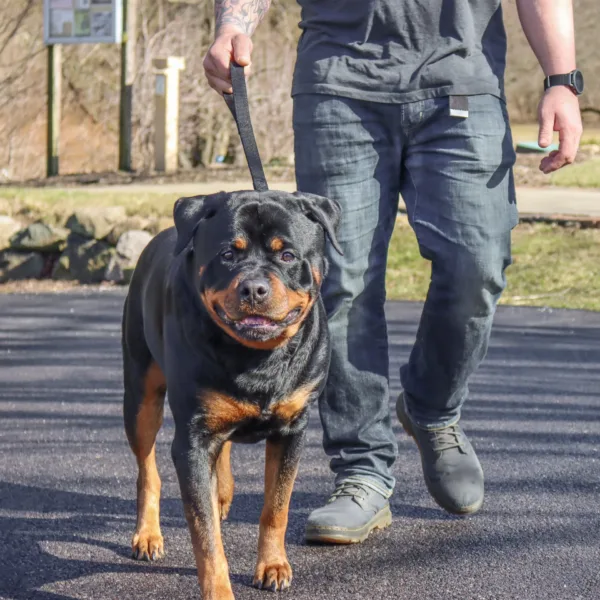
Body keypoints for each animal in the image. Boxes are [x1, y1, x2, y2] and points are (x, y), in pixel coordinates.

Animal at [120, 190, 342, 596]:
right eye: (227, 254)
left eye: (287, 255)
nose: (253, 288)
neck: (256, 357)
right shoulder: (192, 441)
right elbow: (206, 536)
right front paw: (219, 591)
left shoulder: (292, 430)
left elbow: (276, 506)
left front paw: (272, 565)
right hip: (141, 394)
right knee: (148, 468)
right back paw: (148, 535)